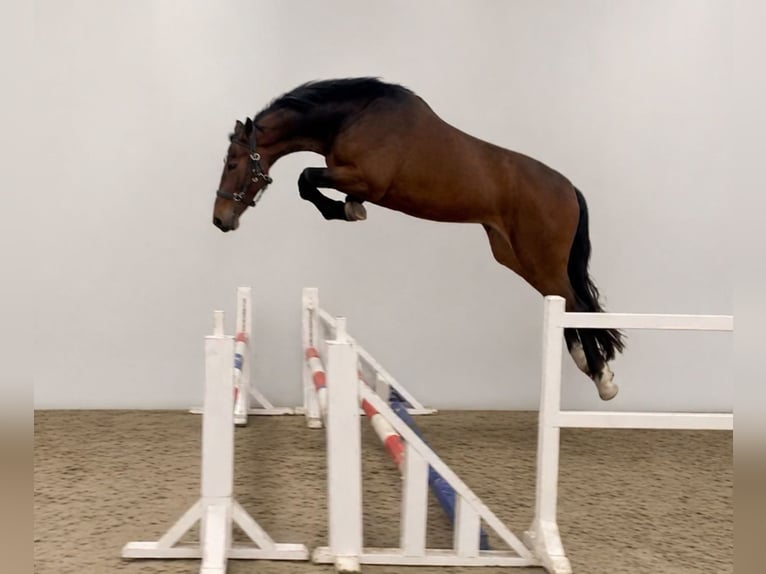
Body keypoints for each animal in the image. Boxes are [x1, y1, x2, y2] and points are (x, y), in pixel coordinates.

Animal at [212, 77, 625, 400]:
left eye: (232, 163)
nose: (220, 219)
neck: (355, 116)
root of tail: (568, 188)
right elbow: (310, 182)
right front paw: (349, 208)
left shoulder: (365, 178)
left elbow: (306, 178)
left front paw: (347, 210)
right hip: (520, 260)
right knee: (567, 304)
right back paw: (590, 366)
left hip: (540, 259)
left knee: (578, 306)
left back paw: (603, 380)